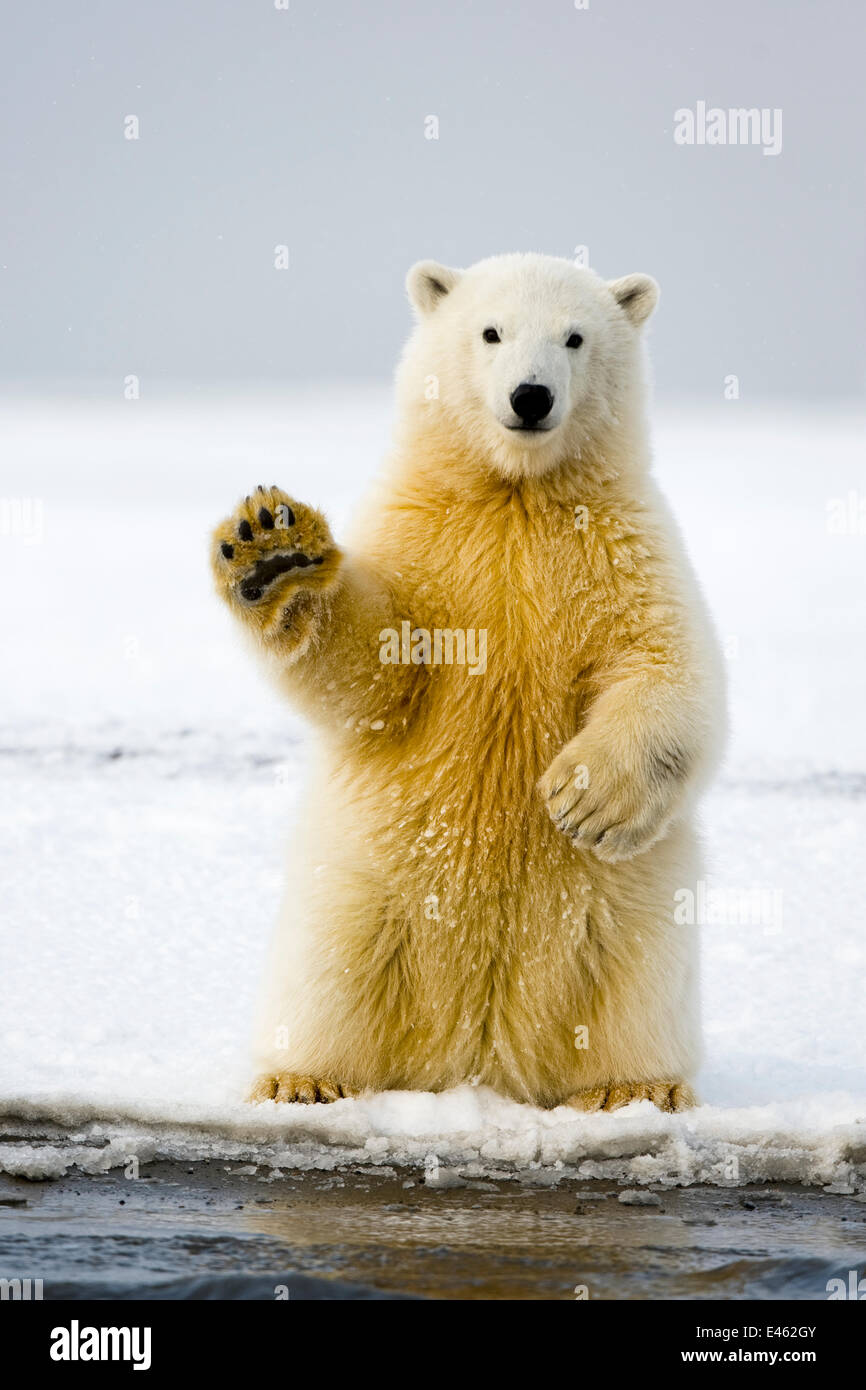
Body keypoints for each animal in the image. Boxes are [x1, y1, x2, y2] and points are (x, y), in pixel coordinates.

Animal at [214, 252, 728, 1106]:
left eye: (574, 337)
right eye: (491, 332)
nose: (531, 395)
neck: (516, 493)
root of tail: (479, 1058)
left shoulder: (625, 546)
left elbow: (665, 665)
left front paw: (585, 798)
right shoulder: (425, 538)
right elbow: (378, 670)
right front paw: (273, 553)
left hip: (632, 915)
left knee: (634, 985)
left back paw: (630, 1089)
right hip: (361, 889)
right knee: (329, 973)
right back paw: (301, 1079)